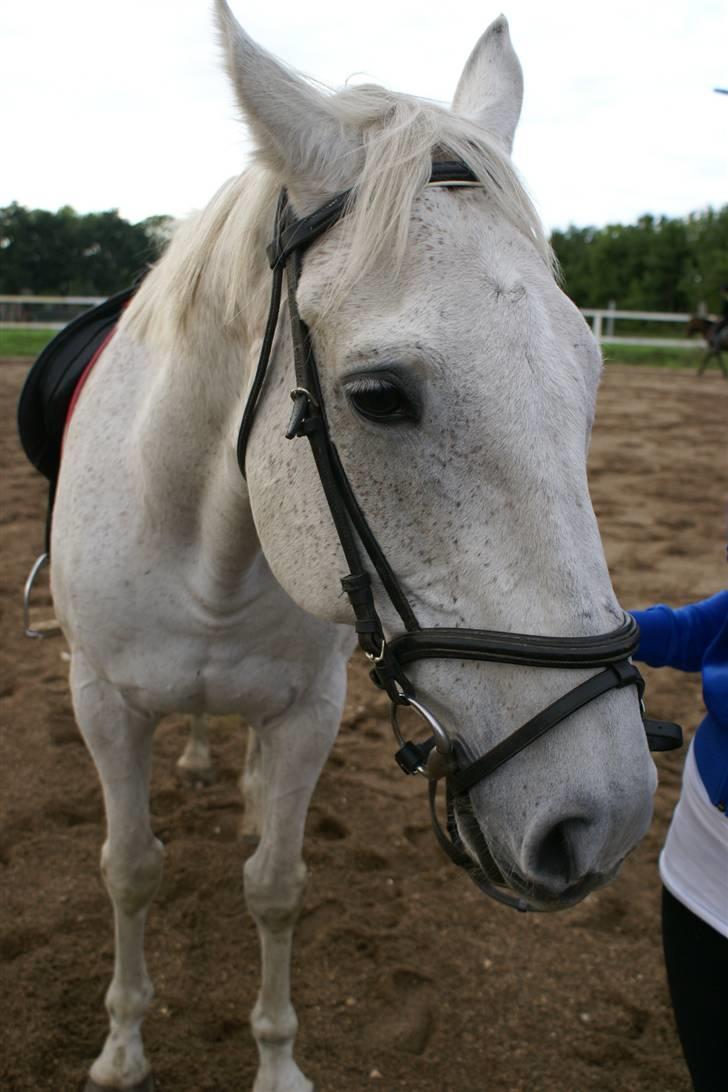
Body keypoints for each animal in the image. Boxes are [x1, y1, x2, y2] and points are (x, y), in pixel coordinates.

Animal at [44, 4, 659, 1087]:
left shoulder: (306, 716)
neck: (206, 557)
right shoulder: (103, 704)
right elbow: (129, 871)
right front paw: (120, 1045)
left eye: (587, 373)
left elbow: (276, 885)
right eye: (377, 396)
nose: (608, 816)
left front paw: (278, 1060)